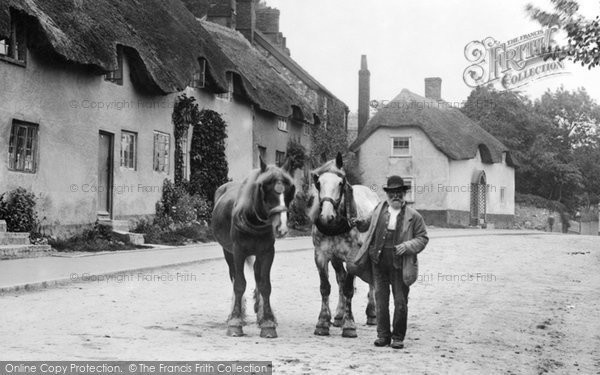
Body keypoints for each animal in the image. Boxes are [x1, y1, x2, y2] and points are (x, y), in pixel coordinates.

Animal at [211, 157, 296, 340]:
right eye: (265, 189)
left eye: (289, 191)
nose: (281, 228)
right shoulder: (238, 252)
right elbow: (239, 284)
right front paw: (235, 322)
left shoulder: (267, 252)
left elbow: (265, 285)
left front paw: (268, 322)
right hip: (228, 252)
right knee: (234, 276)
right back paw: (237, 313)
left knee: (258, 276)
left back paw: (261, 313)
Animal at [310, 153, 380, 338]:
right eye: (318, 183)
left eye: (340, 183)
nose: (326, 217)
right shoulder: (321, 255)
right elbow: (326, 287)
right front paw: (323, 322)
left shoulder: (352, 256)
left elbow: (349, 289)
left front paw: (349, 325)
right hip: (336, 258)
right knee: (340, 279)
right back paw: (339, 315)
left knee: (370, 281)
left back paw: (372, 314)